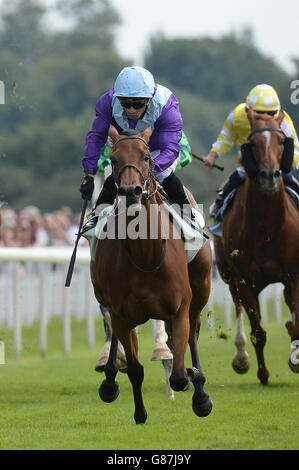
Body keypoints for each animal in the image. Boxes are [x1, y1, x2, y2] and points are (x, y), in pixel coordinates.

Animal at [90, 126, 214, 424]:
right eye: (113, 158)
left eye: (146, 157)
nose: (130, 191)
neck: (144, 255)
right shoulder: (121, 313)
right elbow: (135, 369)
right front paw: (139, 412)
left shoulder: (179, 309)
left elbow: (180, 376)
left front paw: (192, 379)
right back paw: (109, 378)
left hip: (201, 288)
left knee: (193, 331)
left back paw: (200, 390)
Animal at [214, 108, 299, 384]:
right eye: (252, 143)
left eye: (282, 141)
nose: (270, 175)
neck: (267, 227)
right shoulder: (244, 281)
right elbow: (258, 332)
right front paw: (262, 373)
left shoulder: (294, 275)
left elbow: (296, 320)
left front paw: (295, 358)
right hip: (229, 277)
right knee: (239, 308)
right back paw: (241, 357)